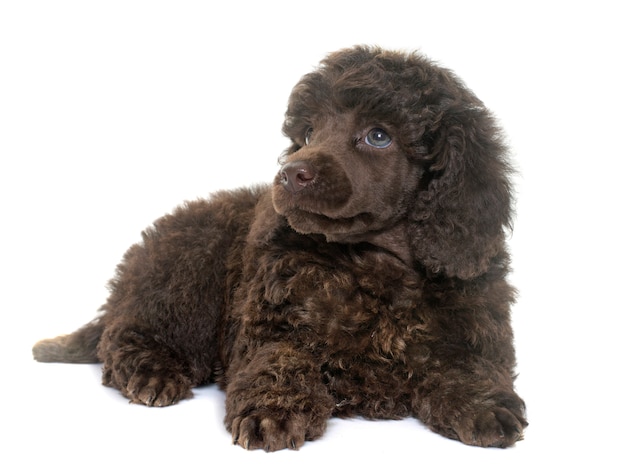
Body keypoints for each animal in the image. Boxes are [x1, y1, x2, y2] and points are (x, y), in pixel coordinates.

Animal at [31, 45, 524, 452]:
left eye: (378, 136)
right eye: (308, 134)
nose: (289, 174)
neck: (374, 261)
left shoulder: (476, 321)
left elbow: (468, 364)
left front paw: (483, 402)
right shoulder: (273, 323)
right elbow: (280, 362)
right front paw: (274, 410)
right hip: (186, 274)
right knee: (123, 336)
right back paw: (153, 370)